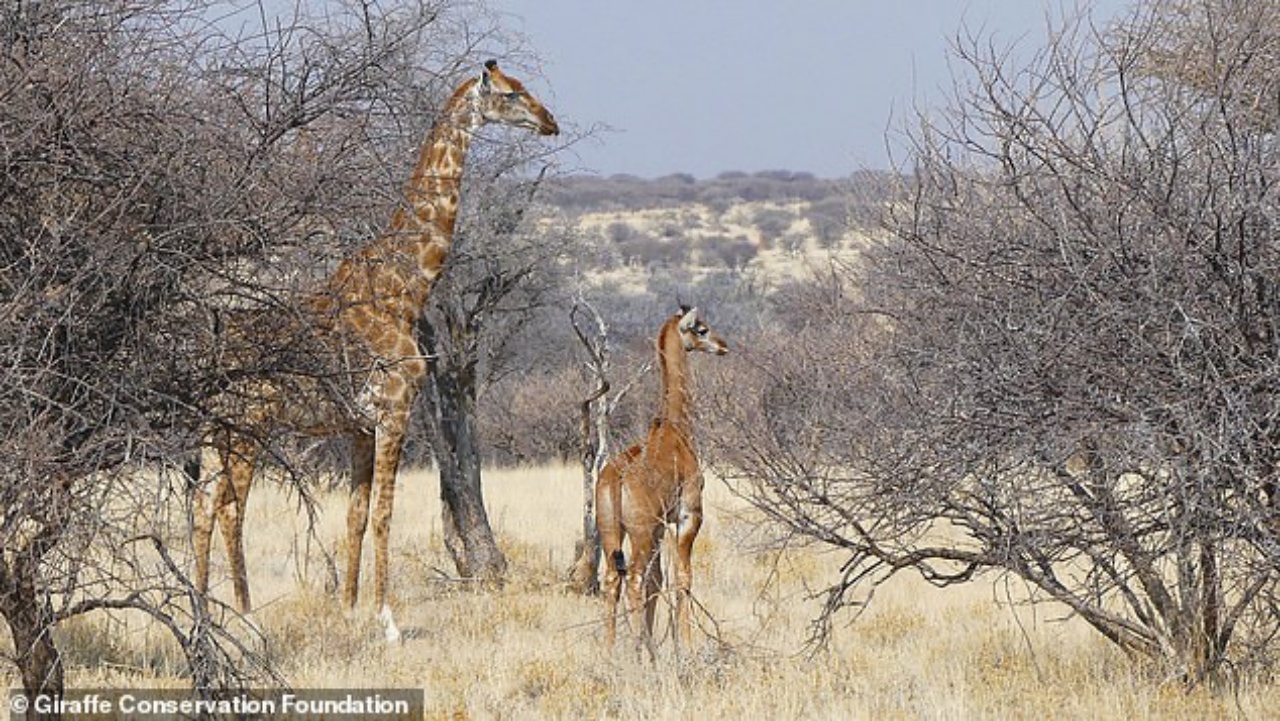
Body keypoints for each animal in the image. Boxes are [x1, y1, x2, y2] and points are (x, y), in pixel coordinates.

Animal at [190, 59, 555, 640]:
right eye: (510, 93)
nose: (550, 122)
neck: (403, 288)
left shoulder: (360, 425)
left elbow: (356, 514)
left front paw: (349, 610)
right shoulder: (394, 410)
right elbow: (385, 513)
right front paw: (388, 621)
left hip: (214, 429)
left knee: (203, 504)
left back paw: (202, 616)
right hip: (245, 426)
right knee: (228, 507)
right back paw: (245, 620)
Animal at [593, 307, 727, 655]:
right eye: (701, 329)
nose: (723, 345)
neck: (676, 428)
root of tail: (615, 481)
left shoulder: (658, 527)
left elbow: (658, 581)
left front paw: (657, 642)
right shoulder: (687, 515)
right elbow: (682, 577)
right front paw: (686, 646)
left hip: (612, 529)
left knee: (613, 580)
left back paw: (611, 652)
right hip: (639, 532)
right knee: (635, 579)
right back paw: (637, 651)